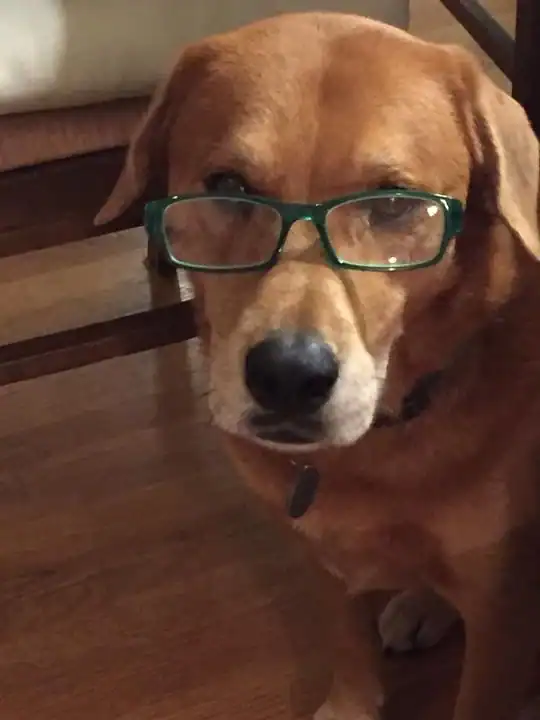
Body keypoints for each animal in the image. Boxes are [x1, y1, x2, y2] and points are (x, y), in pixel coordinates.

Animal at [96, 12, 540, 720]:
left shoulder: (502, 607)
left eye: (393, 204)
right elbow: (346, 644)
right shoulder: (315, 545)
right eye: (229, 187)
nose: (288, 376)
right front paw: (351, 701)